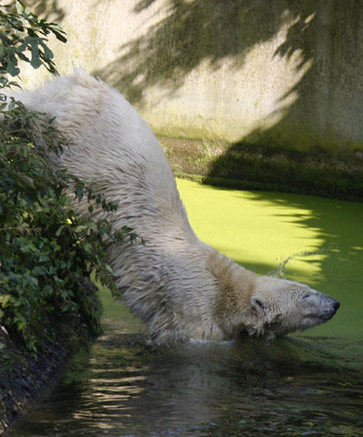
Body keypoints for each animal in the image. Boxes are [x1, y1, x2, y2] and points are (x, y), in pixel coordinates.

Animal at [4, 70, 342, 344]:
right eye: (306, 295)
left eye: (307, 286)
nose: (336, 303)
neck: (226, 291)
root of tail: (85, 82)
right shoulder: (192, 310)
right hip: (79, 134)